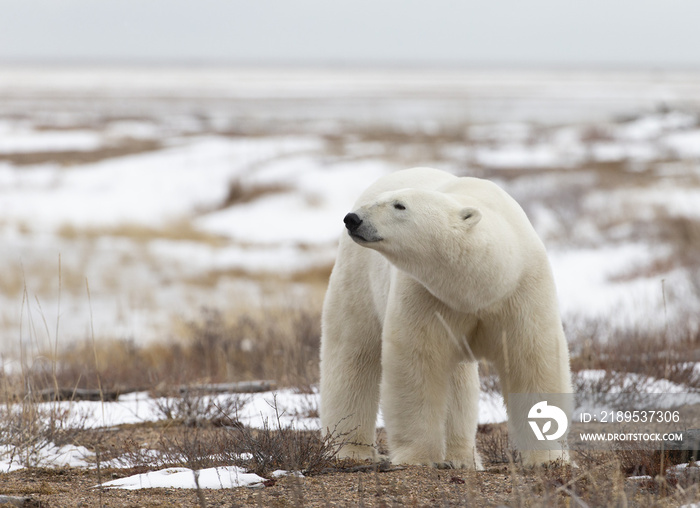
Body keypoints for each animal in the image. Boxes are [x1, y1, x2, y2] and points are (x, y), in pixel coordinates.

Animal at [320, 168, 572, 468]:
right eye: (385, 201)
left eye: (399, 205)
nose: (353, 219)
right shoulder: (425, 295)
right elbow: (417, 364)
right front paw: (418, 458)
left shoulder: (521, 291)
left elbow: (532, 360)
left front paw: (548, 459)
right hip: (358, 278)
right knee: (352, 353)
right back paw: (351, 451)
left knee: (458, 384)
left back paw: (462, 459)